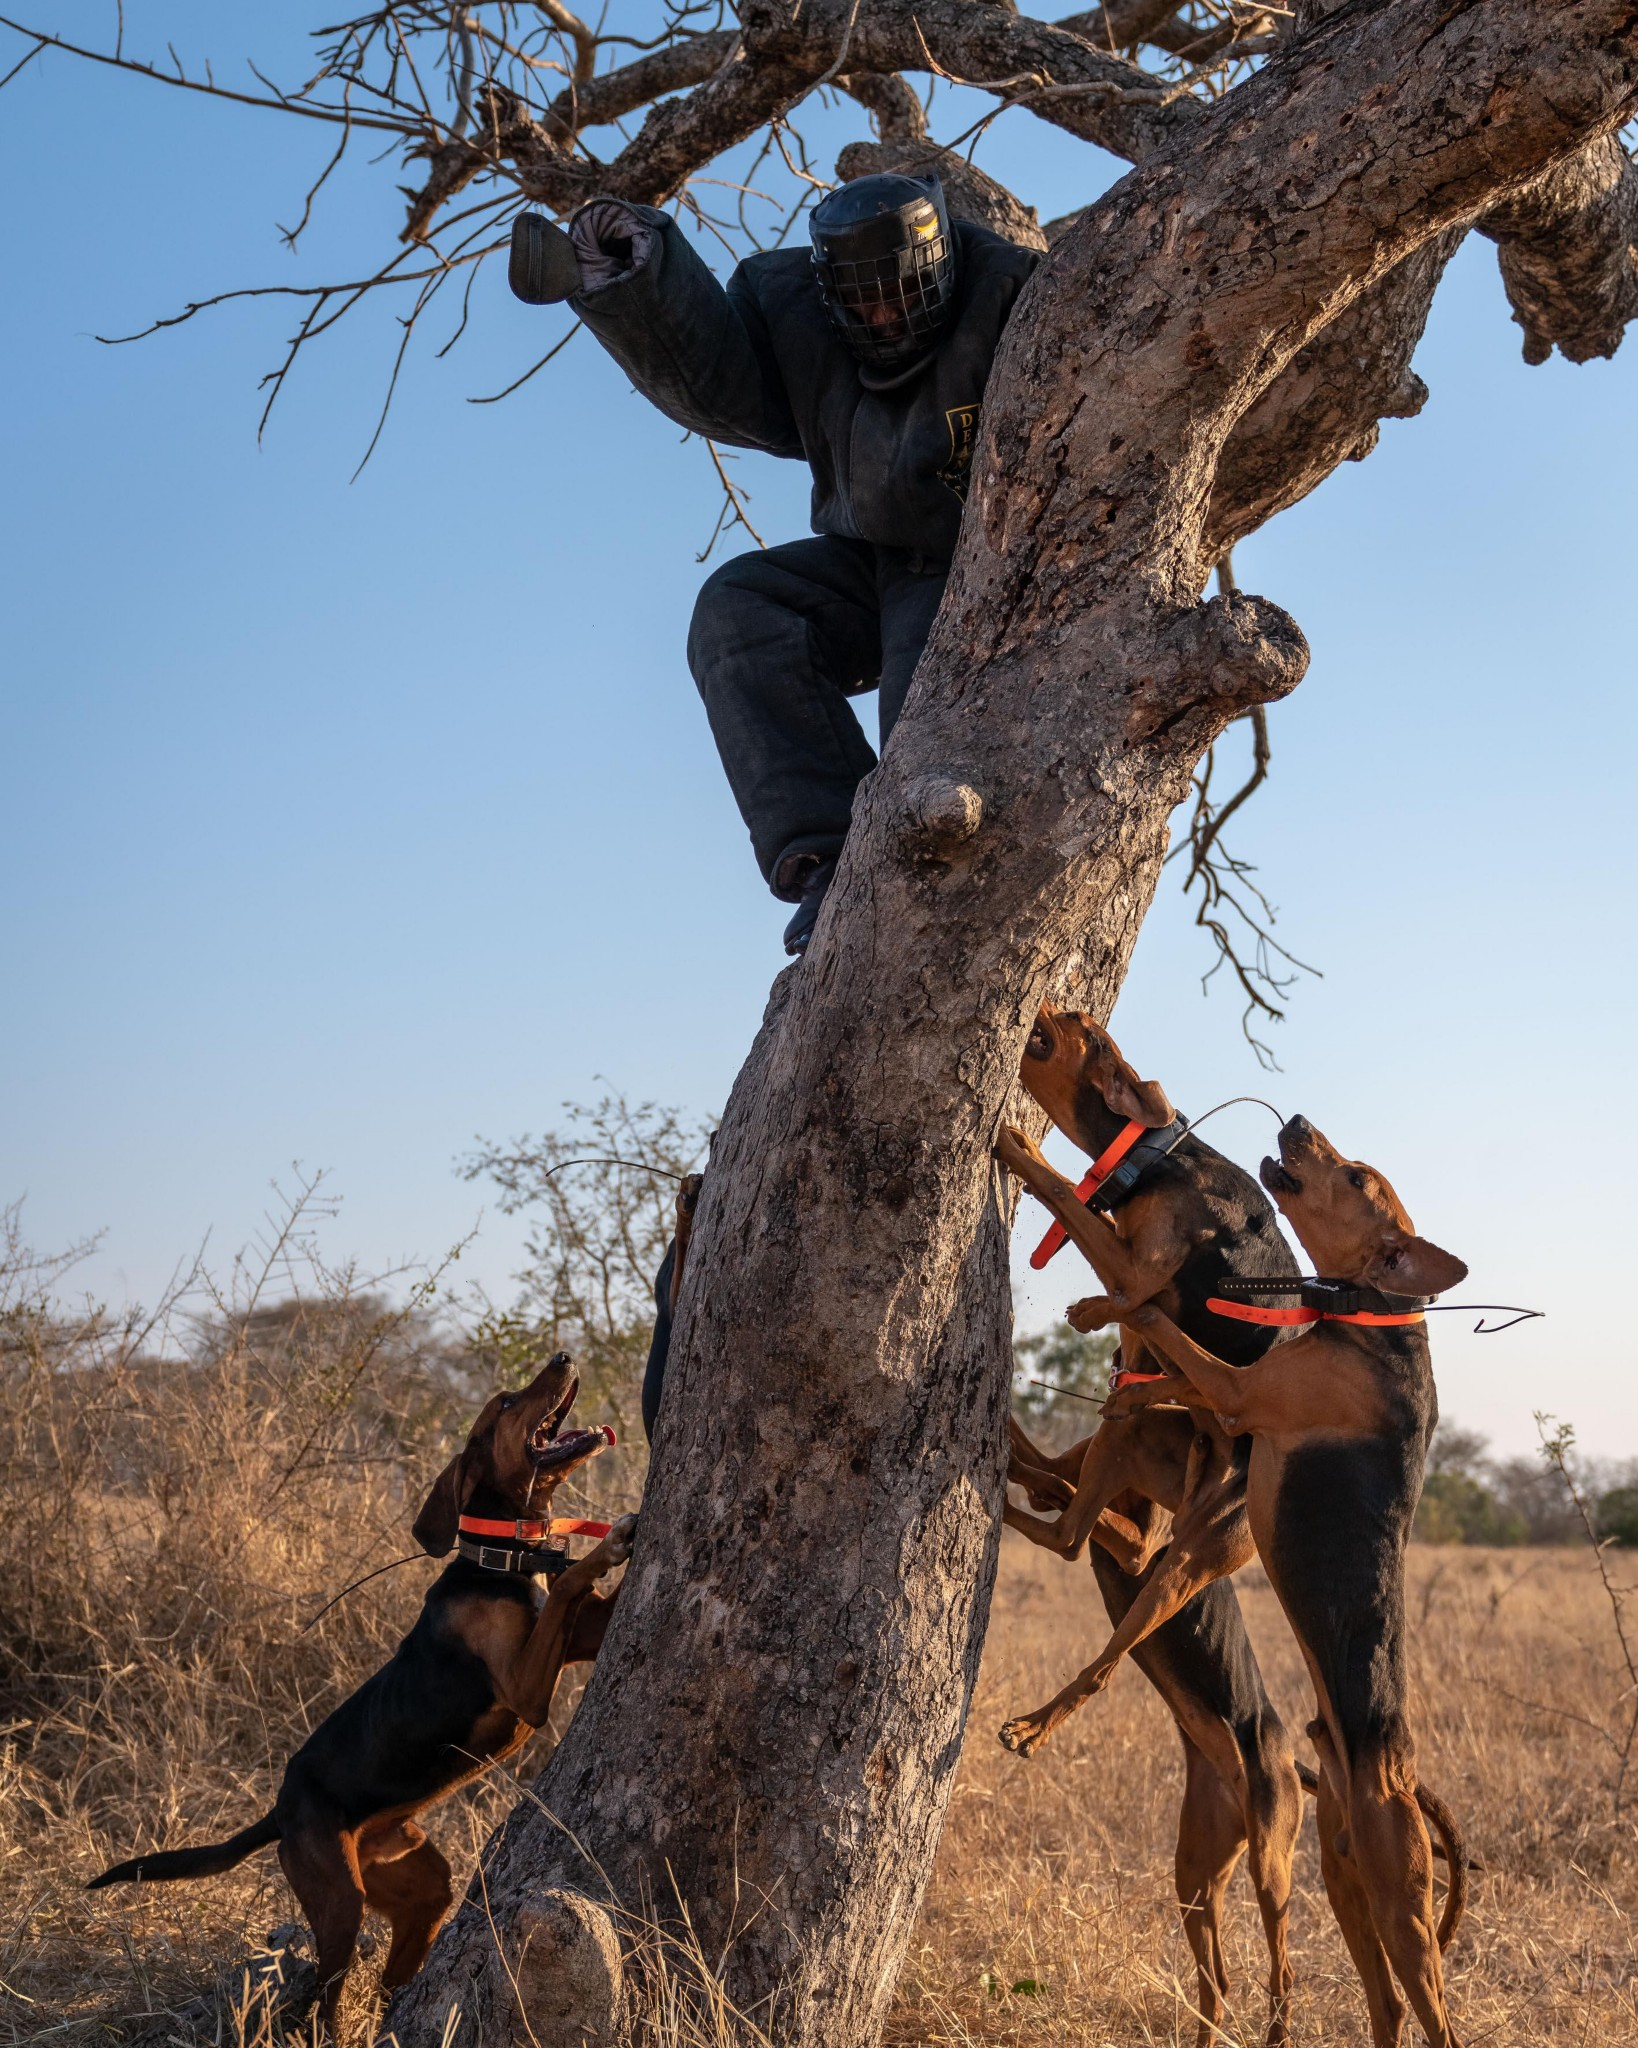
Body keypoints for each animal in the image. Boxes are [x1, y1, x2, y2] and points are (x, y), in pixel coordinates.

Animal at [86, 1343, 638, 2031]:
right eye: (508, 1401)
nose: (563, 1354)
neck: (499, 1560)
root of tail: (280, 1812)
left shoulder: (582, 1635)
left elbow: (577, 1597)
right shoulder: (524, 1693)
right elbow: (566, 1584)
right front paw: (606, 1546)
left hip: (418, 1884)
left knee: (394, 1972)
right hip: (339, 1900)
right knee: (326, 1996)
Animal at [1113, 1122, 1474, 2048]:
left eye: (1357, 1178)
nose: (1297, 1123)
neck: (1382, 1320)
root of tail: (1384, 1771)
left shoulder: (1239, 1389)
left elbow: (1168, 1331)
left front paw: (1121, 1306)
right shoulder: (1226, 1395)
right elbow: (1169, 1364)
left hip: (1402, 1905)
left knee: (1432, 2015)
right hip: (1345, 1881)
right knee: (1386, 2008)